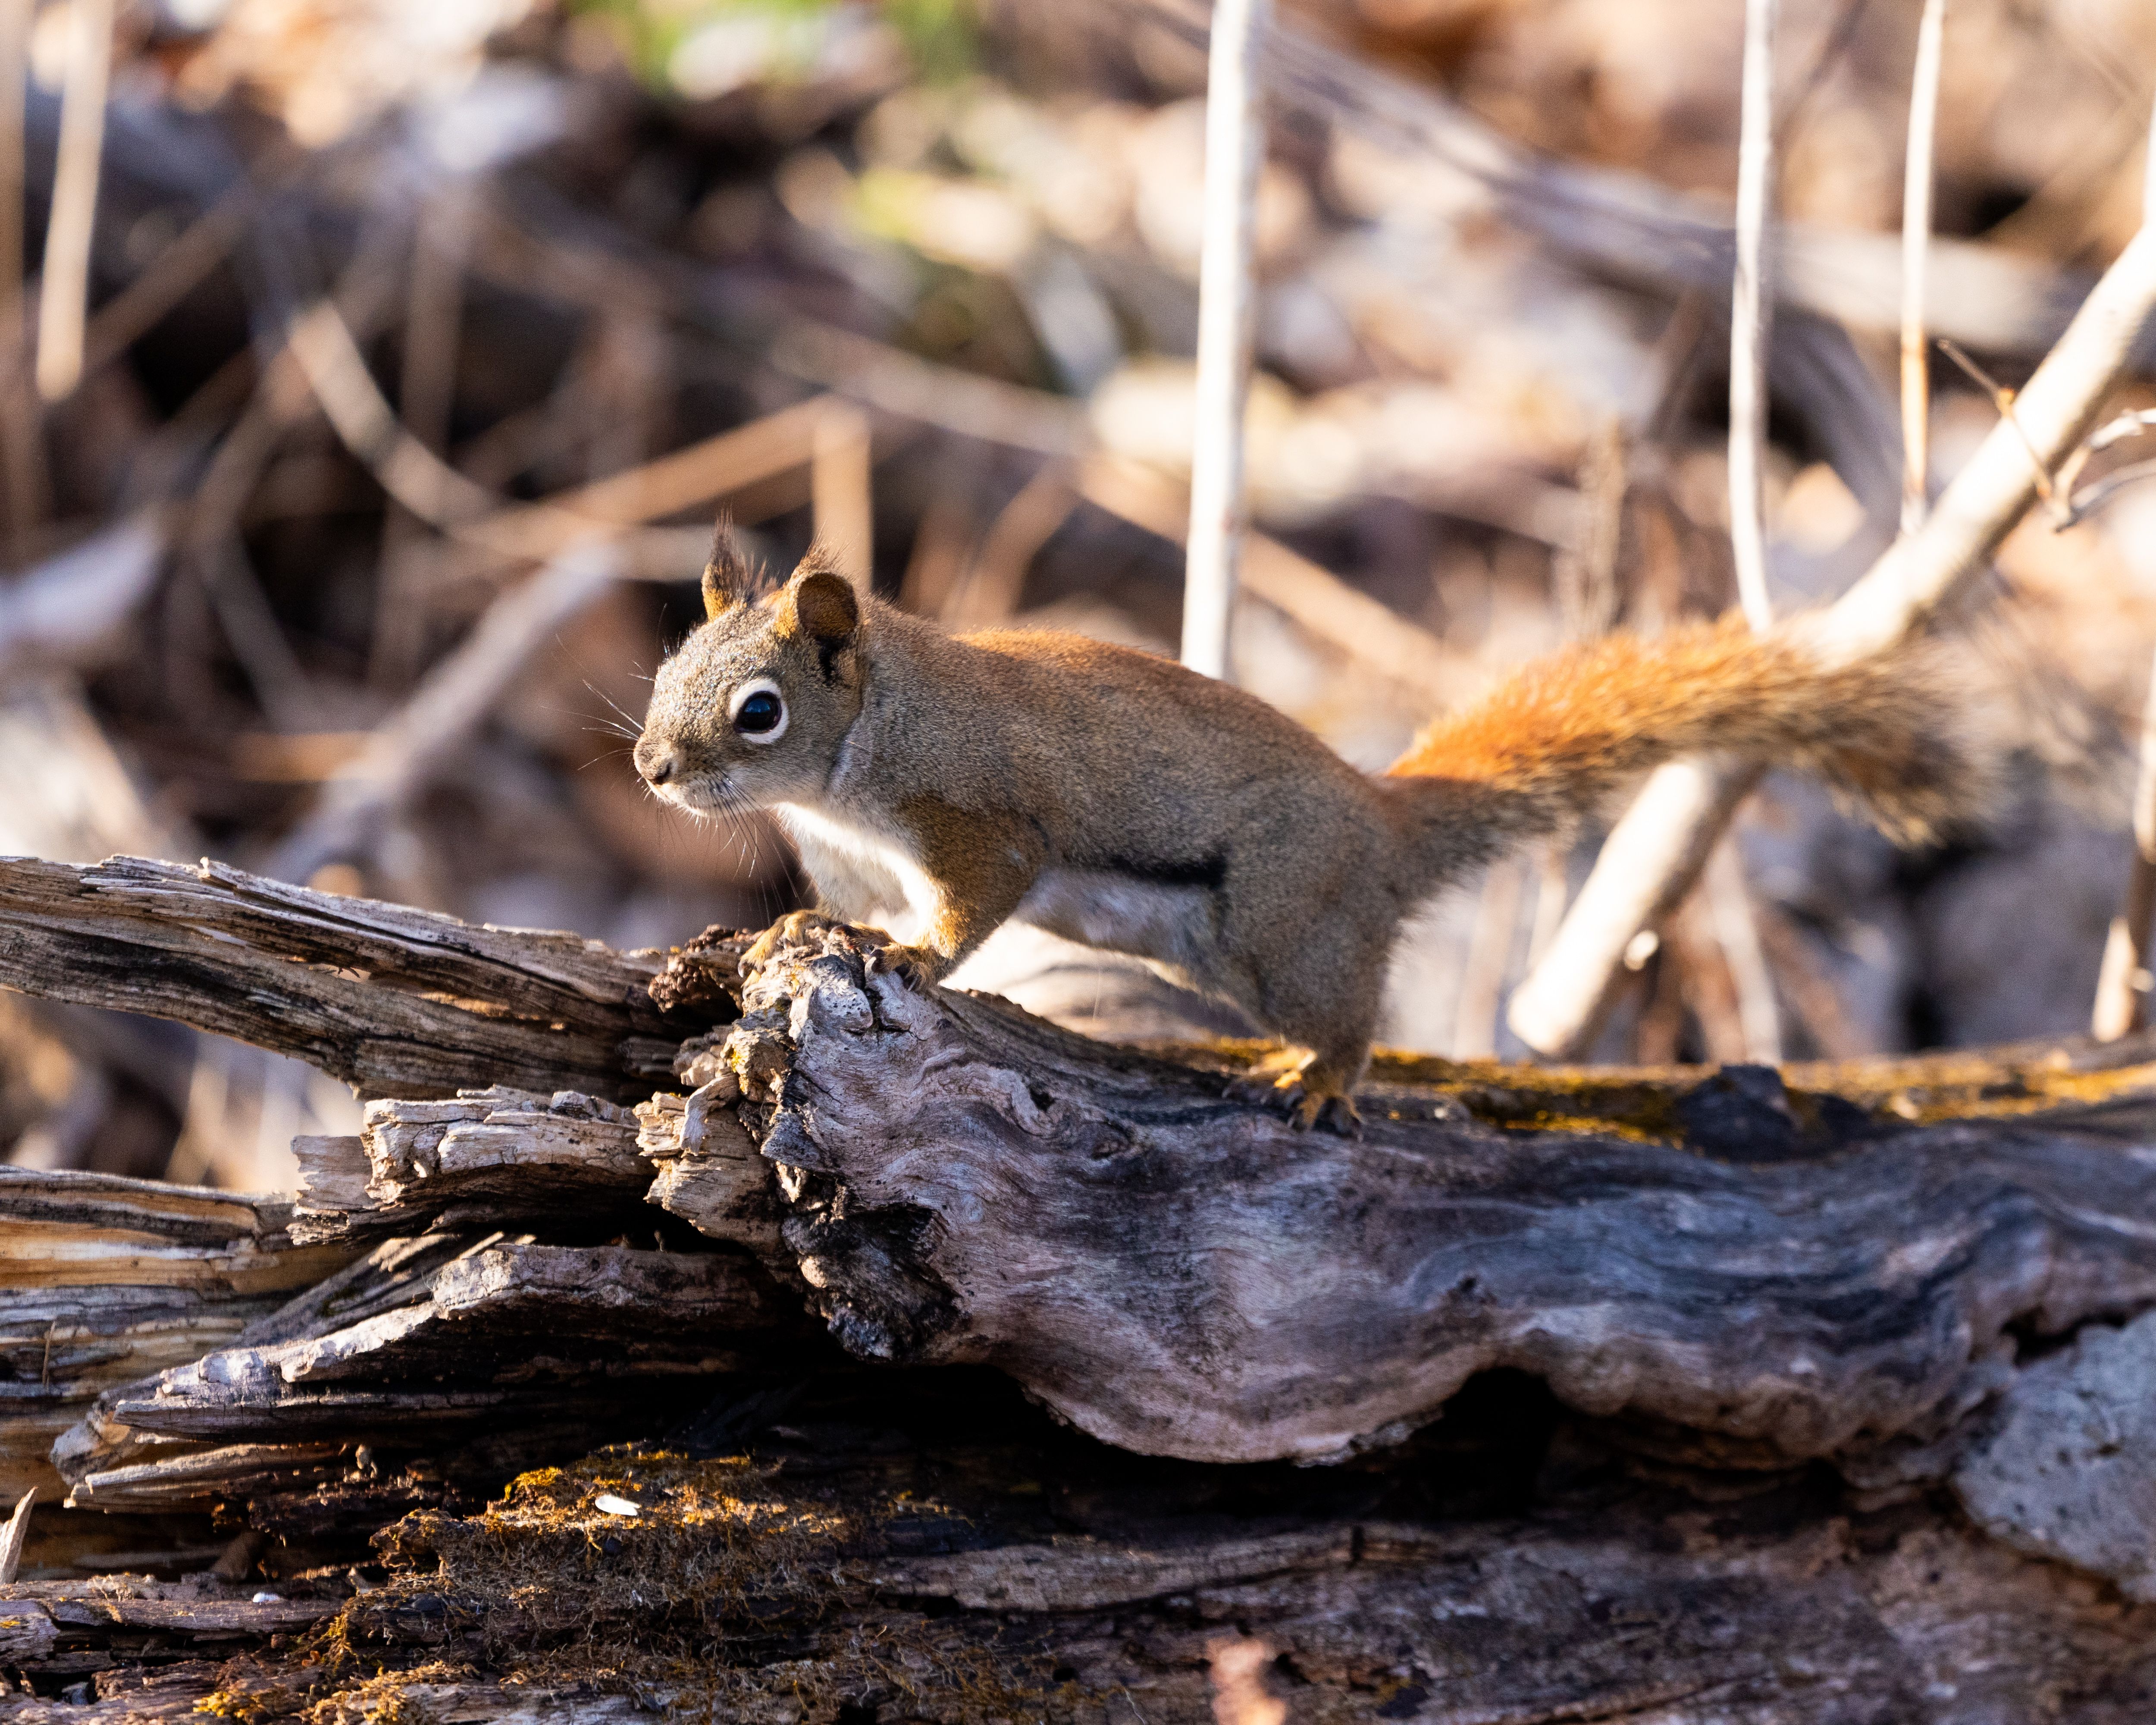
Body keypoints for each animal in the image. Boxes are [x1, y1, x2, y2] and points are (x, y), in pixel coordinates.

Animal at [635, 527, 1983, 1131]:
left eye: (759, 712)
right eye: (663, 671)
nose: (652, 768)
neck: (864, 746)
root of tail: (1382, 826)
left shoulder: (976, 817)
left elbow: (971, 905)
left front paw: (909, 955)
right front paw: (799, 931)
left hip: (1282, 935)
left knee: (1351, 1013)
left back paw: (1321, 1079)